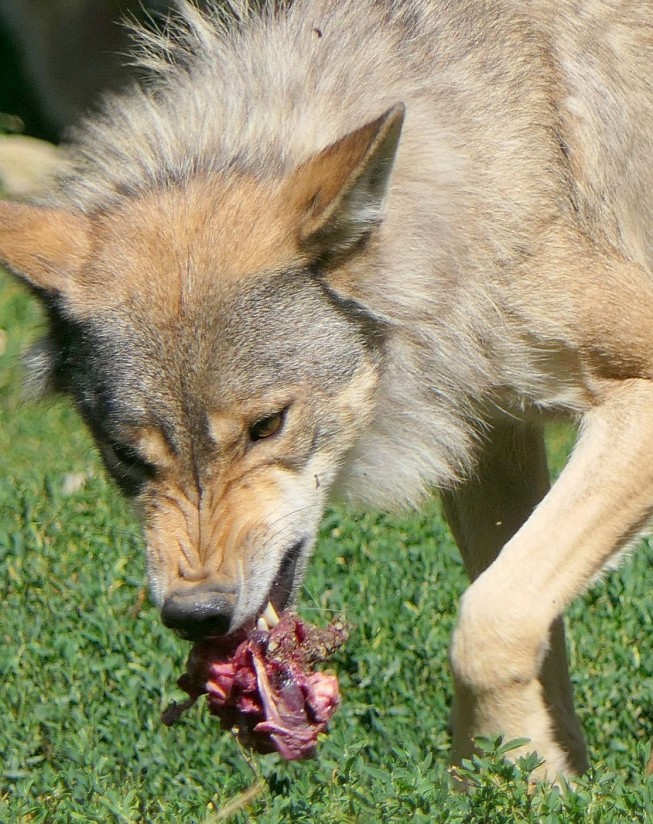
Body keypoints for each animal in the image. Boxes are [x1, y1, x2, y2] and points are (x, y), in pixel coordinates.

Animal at [1, 0, 652, 780]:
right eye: (127, 458)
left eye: (267, 426)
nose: (194, 615)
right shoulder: (488, 436)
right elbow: (519, 618)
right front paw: (523, 778)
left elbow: (489, 618)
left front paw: (516, 784)